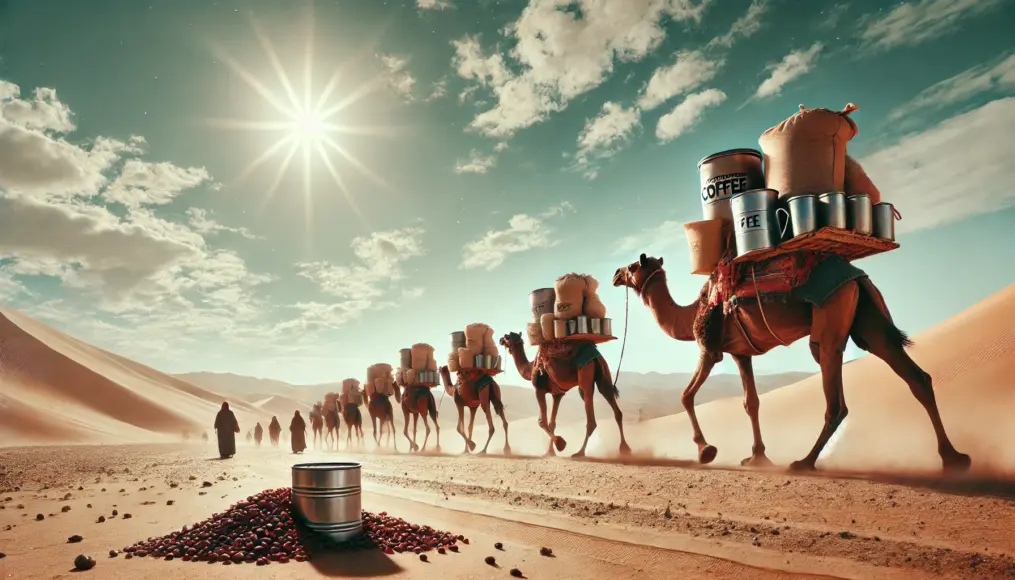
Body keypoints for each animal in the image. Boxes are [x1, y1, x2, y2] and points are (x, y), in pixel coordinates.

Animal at [497, 333, 625, 461]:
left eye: (507, 337)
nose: (500, 340)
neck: (530, 368)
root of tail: (595, 357)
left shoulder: (539, 389)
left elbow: (542, 421)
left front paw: (560, 443)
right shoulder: (557, 394)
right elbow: (552, 423)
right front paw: (550, 452)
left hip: (585, 374)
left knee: (591, 419)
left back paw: (580, 452)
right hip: (603, 375)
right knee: (615, 408)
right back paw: (625, 449)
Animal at [613, 251, 970, 473]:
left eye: (632, 266)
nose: (615, 274)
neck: (689, 316)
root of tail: (856, 275)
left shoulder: (709, 347)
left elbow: (686, 395)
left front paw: (706, 450)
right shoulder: (741, 352)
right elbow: (751, 402)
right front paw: (757, 457)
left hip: (829, 319)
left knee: (836, 399)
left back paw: (805, 462)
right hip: (869, 320)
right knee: (916, 377)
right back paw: (953, 458)